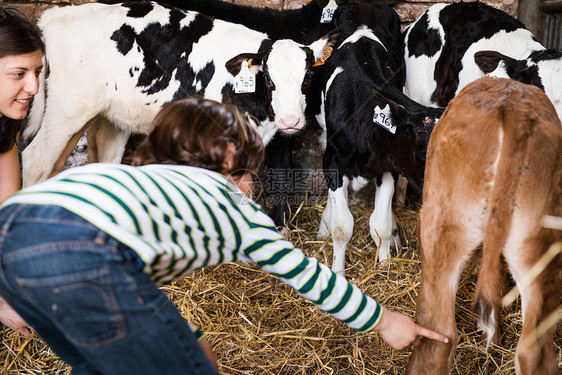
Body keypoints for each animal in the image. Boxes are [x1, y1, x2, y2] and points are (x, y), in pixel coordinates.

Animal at [21, 1, 336, 187]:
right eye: (268, 77)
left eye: (308, 76)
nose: (291, 121)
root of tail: (58, 15)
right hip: (67, 110)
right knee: (35, 161)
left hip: (102, 115)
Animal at [316, 2, 442, 274]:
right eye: (423, 153)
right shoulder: (332, 159)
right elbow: (342, 227)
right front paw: (338, 271)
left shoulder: (390, 164)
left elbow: (380, 224)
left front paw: (384, 264)